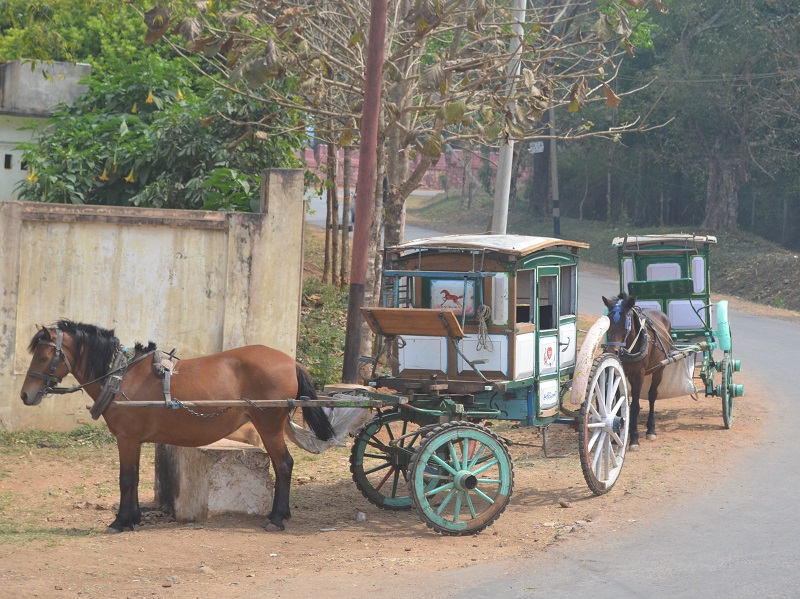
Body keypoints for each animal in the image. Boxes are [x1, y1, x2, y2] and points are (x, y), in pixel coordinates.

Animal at [20, 322, 334, 532]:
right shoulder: (134, 440)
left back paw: (277, 518)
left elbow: (126, 478)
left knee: (284, 465)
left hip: (269, 426)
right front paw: (133, 518)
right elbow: (134, 478)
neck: (119, 377)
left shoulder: (127, 438)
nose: (25, 395)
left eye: (44, 357)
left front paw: (120, 521)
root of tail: (291, 361)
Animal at [604, 296, 672, 450]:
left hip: (659, 370)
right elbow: (619, 403)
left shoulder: (639, 375)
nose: (612, 351)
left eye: (625, 322)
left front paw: (634, 438)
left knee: (652, 395)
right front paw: (616, 436)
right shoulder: (618, 372)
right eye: (608, 321)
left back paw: (650, 429)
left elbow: (635, 406)